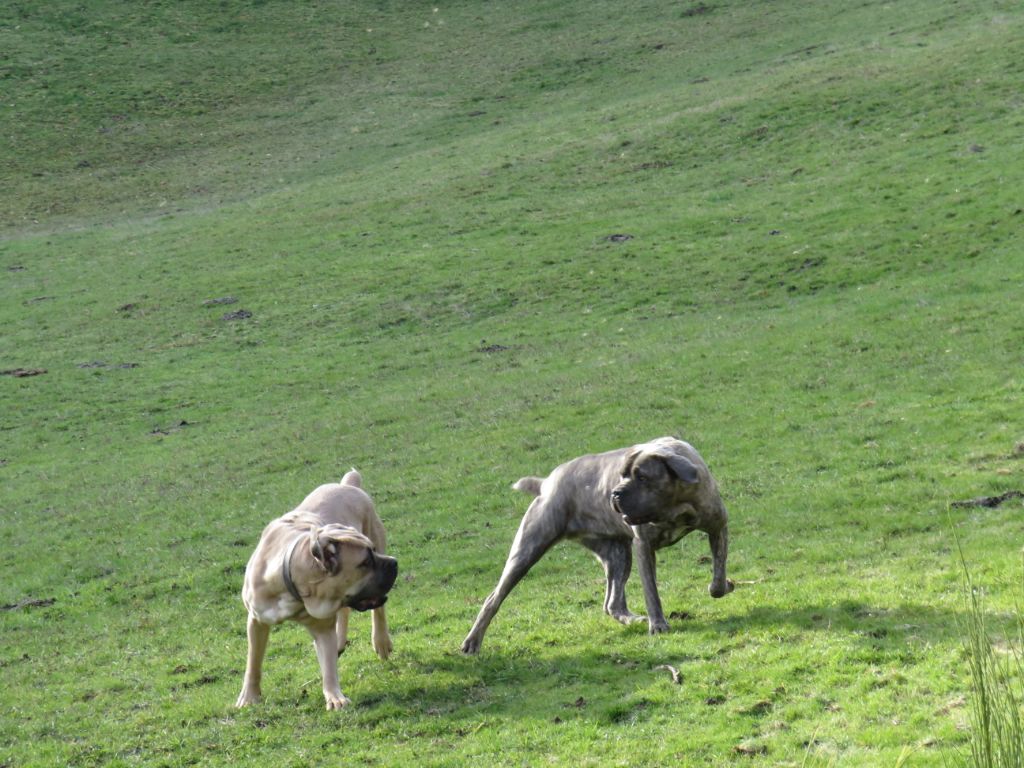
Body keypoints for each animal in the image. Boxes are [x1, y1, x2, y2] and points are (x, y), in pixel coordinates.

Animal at [235, 473, 395, 712]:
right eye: (366, 562)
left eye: (373, 551)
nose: (394, 563)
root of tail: (347, 485)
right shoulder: (257, 621)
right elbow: (253, 662)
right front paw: (249, 697)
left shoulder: (323, 628)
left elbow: (328, 668)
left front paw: (335, 697)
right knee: (346, 611)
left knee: (378, 611)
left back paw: (381, 642)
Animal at [460, 438, 733, 655]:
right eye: (622, 475)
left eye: (642, 477)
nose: (615, 493)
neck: (675, 506)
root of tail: (546, 483)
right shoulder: (644, 547)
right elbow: (651, 592)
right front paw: (658, 625)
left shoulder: (718, 527)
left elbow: (718, 576)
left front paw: (724, 585)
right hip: (527, 551)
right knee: (493, 598)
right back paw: (472, 642)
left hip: (618, 555)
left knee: (612, 604)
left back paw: (633, 620)